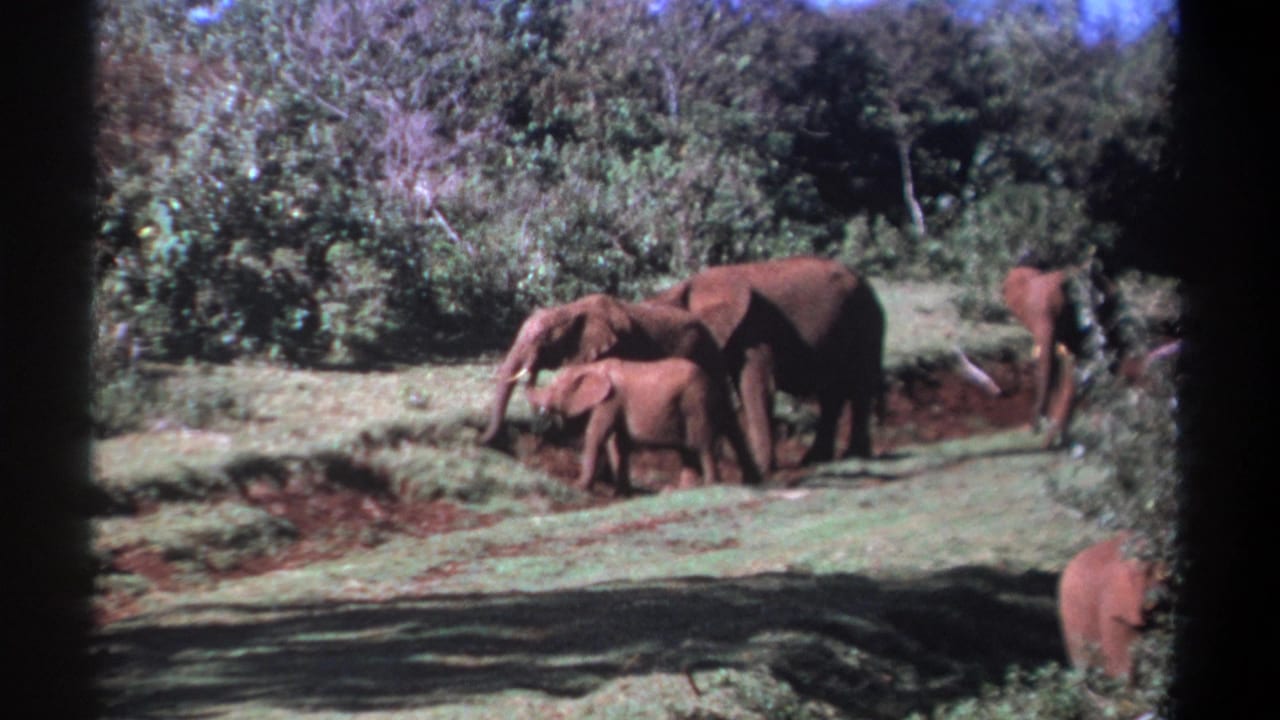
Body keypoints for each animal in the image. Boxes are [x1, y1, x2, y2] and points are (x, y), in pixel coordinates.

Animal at [524, 358, 763, 494]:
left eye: (555, 389)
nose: (529, 367)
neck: (591, 367)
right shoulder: (614, 403)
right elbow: (617, 443)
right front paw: (622, 493)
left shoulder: (609, 401)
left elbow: (597, 435)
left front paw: (579, 488)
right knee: (702, 442)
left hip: (695, 401)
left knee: (701, 443)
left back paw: (710, 485)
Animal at [648, 256, 885, 472]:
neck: (686, 286)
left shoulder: (754, 328)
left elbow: (756, 386)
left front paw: (762, 468)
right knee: (832, 394)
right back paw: (816, 459)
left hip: (866, 319)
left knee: (859, 386)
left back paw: (854, 455)